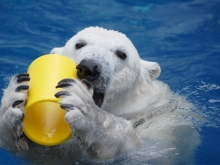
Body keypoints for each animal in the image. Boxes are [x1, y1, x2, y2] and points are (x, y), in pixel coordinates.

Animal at [0, 26, 200, 164]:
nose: (88, 68)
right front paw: (12, 102)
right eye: (79, 44)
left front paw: (87, 112)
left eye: (122, 54)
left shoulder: (164, 121)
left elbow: (151, 153)